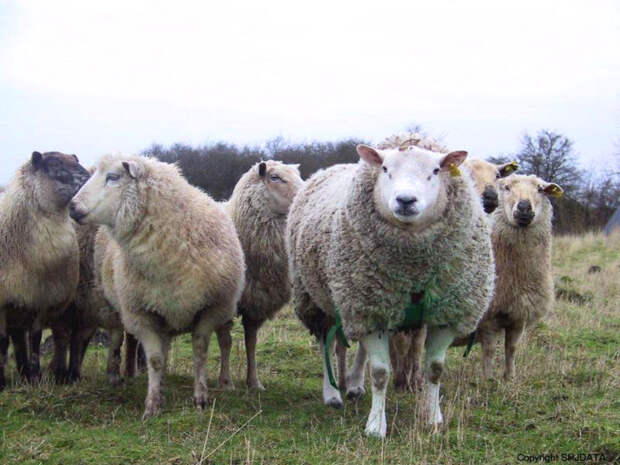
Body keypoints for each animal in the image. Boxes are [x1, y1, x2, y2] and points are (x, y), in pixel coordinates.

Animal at [0, 150, 89, 386]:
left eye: (76, 160)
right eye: (54, 163)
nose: (88, 178)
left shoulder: (40, 299)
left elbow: (35, 338)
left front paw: (35, 377)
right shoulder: (3, 302)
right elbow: (2, 341)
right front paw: (2, 382)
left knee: (19, 339)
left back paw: (24, 372)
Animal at [71, 153, 246, 416]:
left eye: (113, 177)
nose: (71, 206)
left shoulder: (209, 309)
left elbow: (200, 352)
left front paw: (201, 398)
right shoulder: (143, 314)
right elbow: (155, 359)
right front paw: (152, 404)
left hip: (223, 308)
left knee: (225, 342)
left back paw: (225, 382)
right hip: (127, 306)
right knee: (120, 338)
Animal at [216, 160, 302, 388]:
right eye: (275, 177)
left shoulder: (257, 301)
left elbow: (251, 343)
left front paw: (254, 382)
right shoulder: (223, 301)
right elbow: (226, 342)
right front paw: (226, 382)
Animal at [286, 142, 494, 436]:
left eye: (436, 170)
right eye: (385, 169)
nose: (406, 200)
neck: (414, 269)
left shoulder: (445, 313)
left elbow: (435, 369)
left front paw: (433, 418)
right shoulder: (370, 311)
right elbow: (380, 373)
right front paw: (376, 426)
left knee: (360, 350)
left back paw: (354, 385)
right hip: (318, 298)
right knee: (325, 343)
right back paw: (333, 394)